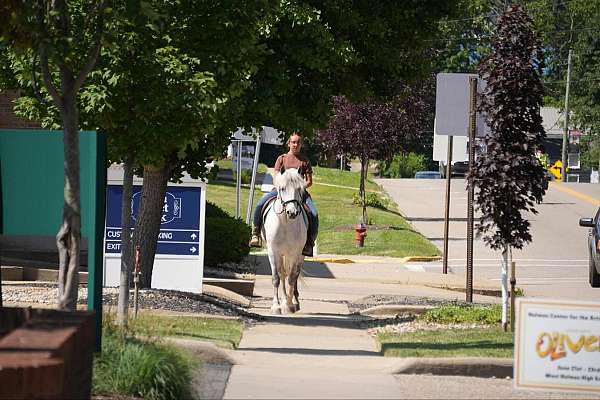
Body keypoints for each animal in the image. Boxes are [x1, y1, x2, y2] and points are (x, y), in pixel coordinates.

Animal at [262, 167, 308, 314]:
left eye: (300, 189)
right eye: (282, 188)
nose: (292, 212)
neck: (286, 223)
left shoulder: (295, 253)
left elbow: (292, 278)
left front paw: (289, 305)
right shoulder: (273, 251)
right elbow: (276, 278)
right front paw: (276, 306)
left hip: (299, 256)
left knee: (294, 275)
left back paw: (294, 301)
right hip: (281, 255)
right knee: (282, 274)